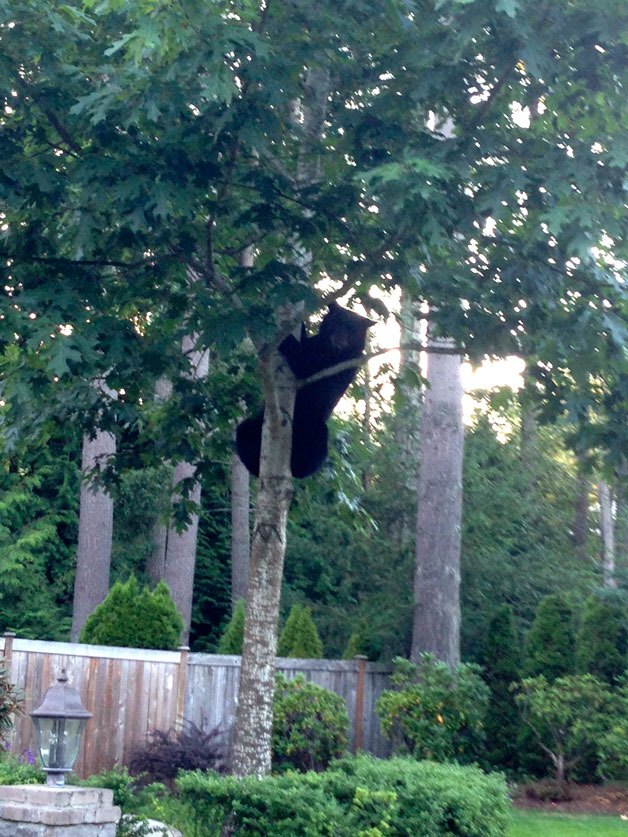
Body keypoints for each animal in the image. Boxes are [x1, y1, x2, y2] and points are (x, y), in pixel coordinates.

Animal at [234, 306, 372, 476]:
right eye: (336, 322)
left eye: (352, 329)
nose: (340, 336)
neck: (328, 350)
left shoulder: (338, 365)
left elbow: (303, 363)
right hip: (254, 425)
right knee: (244, 431)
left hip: (317, 429)